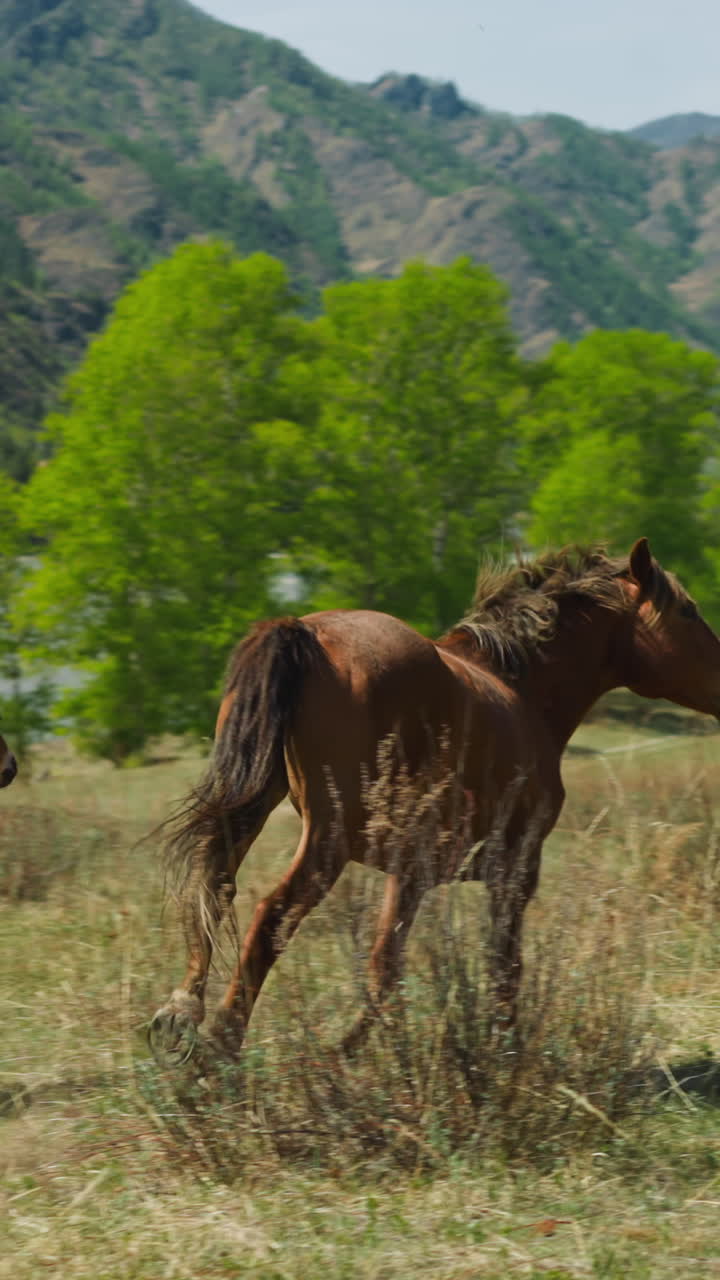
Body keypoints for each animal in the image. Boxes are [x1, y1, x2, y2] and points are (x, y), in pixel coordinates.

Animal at [150, 538, 720, 1065]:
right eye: (688, 611)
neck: (521, 692)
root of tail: (306, 632)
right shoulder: (512, 869)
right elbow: (498, 965)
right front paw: (501, 1054)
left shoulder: (413, 873)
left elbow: (388, 968)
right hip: (327, 837)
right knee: (272, 916)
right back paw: (219, 1049)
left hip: (256, 804)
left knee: (214, 885)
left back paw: (181, 1014)